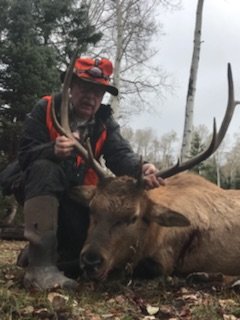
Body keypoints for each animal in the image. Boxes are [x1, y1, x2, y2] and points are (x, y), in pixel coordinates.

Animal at [52, 54, 240, 280]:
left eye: (133, 217)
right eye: (91, 208)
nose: (91, 260)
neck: (154, 235)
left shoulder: (165, 260)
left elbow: (139, 268)